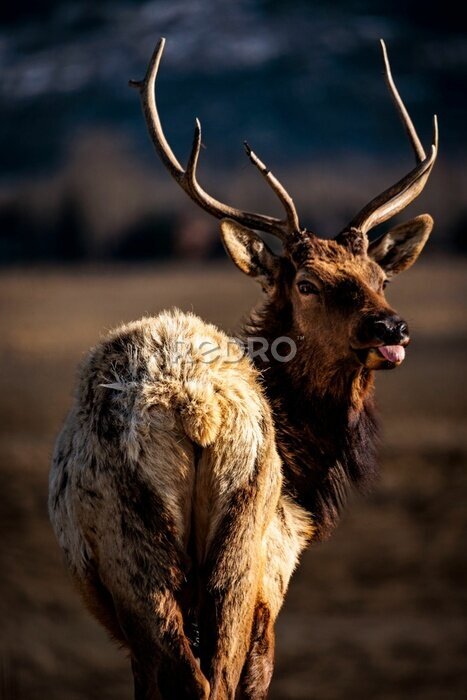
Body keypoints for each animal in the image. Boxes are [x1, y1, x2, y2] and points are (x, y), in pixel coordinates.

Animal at [49, 38, 438, 699]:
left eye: (379, 278)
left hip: (168, 555)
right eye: (306, 283)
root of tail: (196, 409)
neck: (306, 478)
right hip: (221, 543)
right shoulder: (272, 576)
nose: (393, 327)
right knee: (213, 676)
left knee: (203, 677)